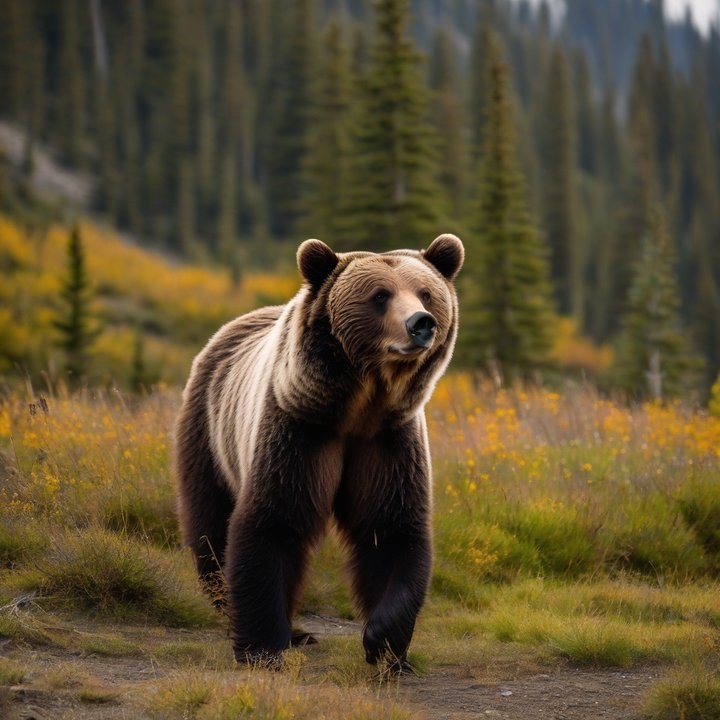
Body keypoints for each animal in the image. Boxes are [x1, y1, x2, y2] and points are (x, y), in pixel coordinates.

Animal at [174, 233, 464, 671]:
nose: (420, 323)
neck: (359, 405)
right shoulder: (298, 430)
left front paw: (385, 643)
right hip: (208, 432)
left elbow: (391, 529)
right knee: (209, 523)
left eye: (426, 293)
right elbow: (274, 520)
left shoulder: (388, 441)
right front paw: (263, 648)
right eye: (380, 295)